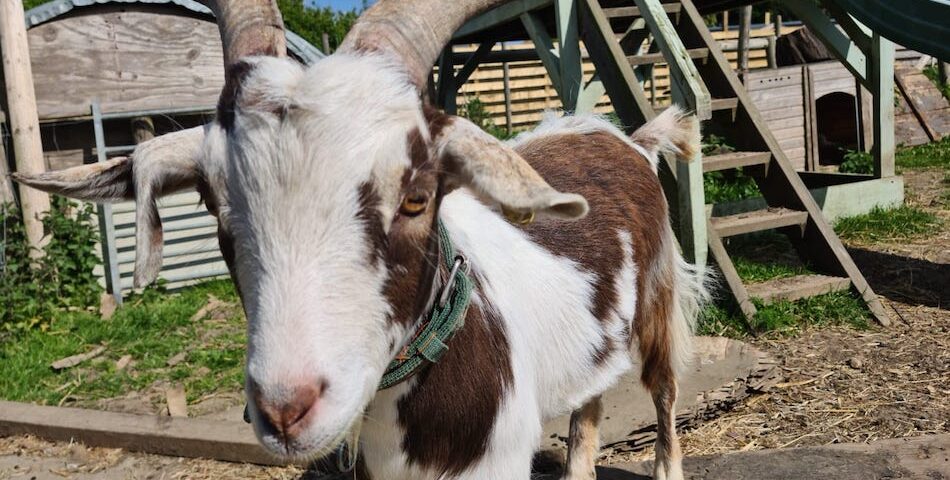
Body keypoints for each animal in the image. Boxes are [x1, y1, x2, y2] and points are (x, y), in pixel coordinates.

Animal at [12, 1, 706, 478]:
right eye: (213, 201)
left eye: (417, 196)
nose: (286, 410)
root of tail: (627, 138)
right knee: (587, 411)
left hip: (661, 301)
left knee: (665, 391)